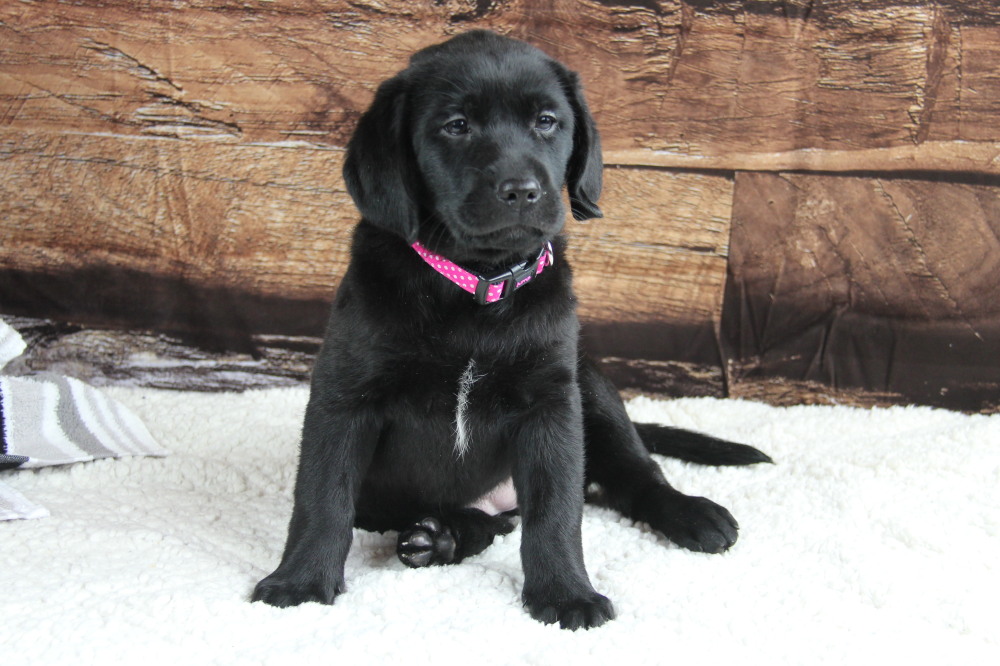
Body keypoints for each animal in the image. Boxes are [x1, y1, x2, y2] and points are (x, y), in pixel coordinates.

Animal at [254, 29, 768, 628]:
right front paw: (301, 580)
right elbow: (323, 496)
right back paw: (439, 536)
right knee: (484, 521)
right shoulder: (344, 395)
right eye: (456, 126)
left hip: (590, 383)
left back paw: (691, 514)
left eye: (547, 121)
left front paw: (566, 593)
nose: (521, 189)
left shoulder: (550, 403)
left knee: (635, 476)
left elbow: (556, 511)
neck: (475, 286)